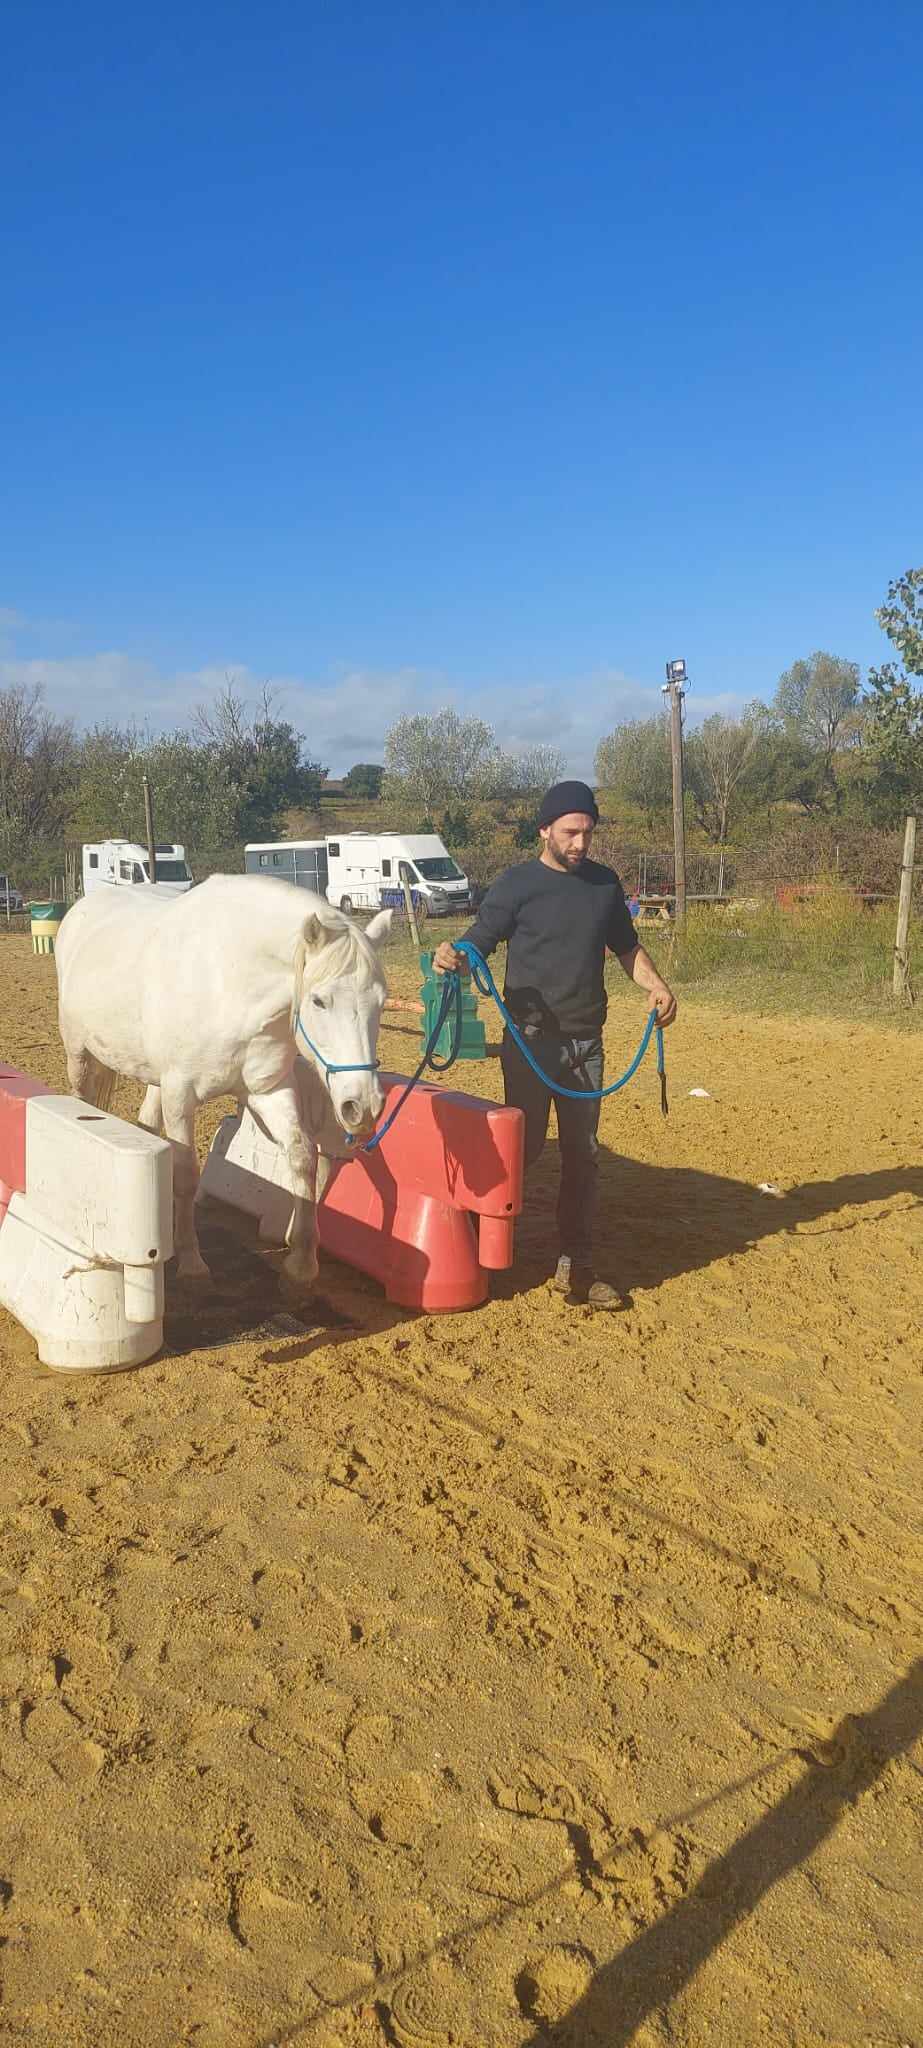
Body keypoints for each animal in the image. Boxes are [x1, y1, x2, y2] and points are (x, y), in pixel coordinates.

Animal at [53, 872, 392, 1286]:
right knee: (84, 1101)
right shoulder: (180, 1095)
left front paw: (302, 1261)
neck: (228, 983)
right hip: (80, 1056)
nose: (363, 1106)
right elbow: (186, 1174)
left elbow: (302, 1158)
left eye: (381, 1001)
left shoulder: (268, 1091)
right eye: (319, 1001)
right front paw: (190, 1259)